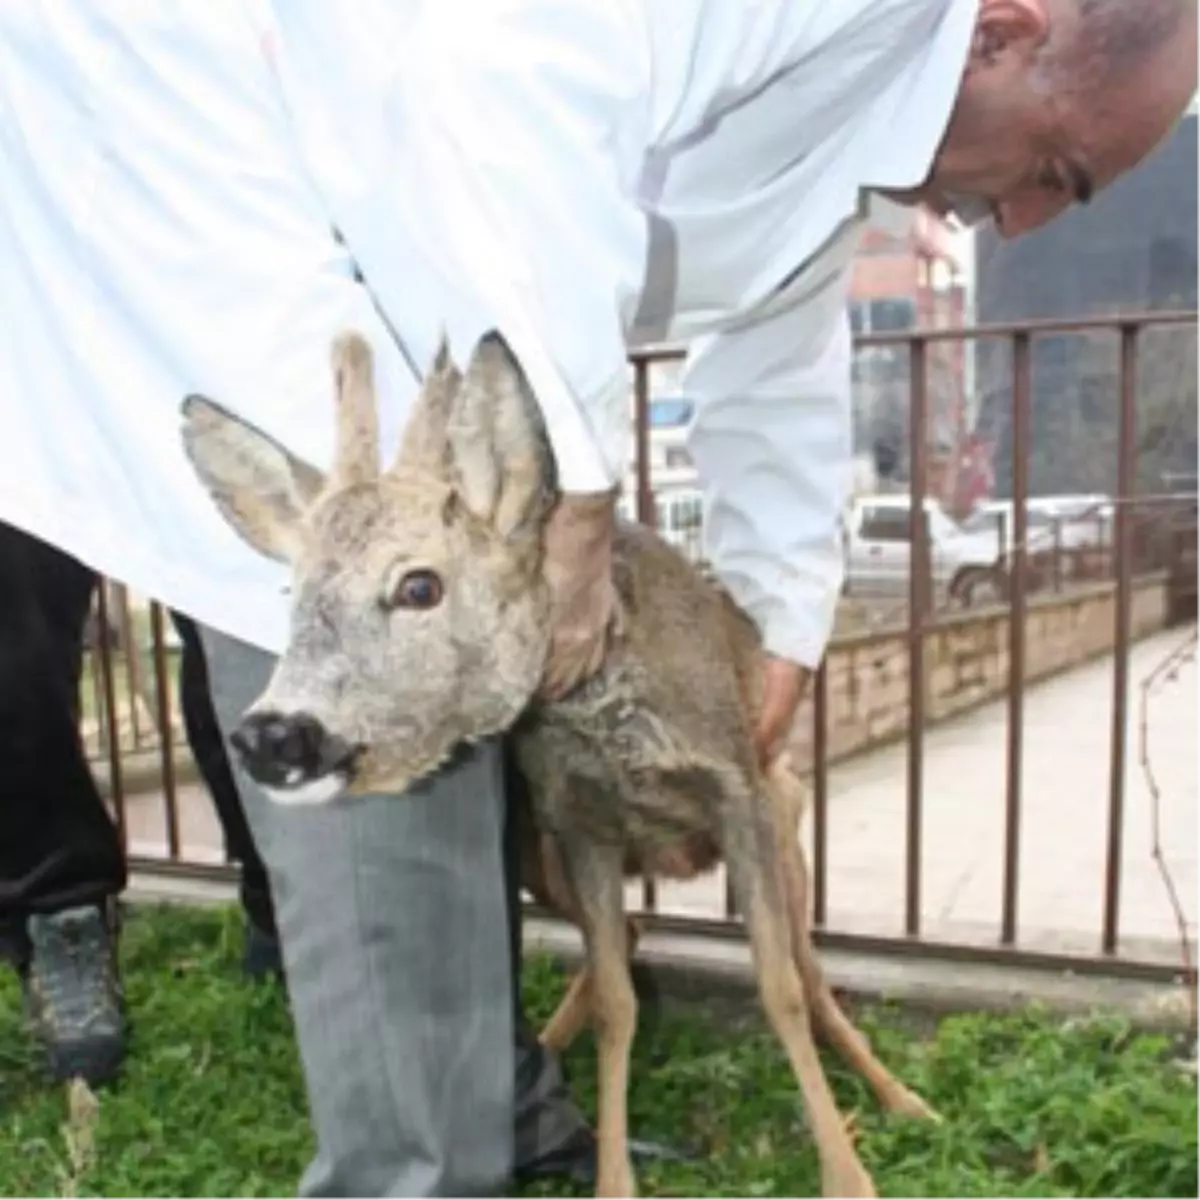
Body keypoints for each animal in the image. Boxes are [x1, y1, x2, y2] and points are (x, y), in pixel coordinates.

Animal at [177, 328, 936, 1200]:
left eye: (419, 585)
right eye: (292, 595)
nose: (271, 735)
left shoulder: (741, 791)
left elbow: (779, 984)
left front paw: (849, 1177)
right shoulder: (580, 823)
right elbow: (616, 1003)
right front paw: (612, 1178)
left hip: (786, 821)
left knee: (811, 969)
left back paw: (904, 1100)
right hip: (534, 847)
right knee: (633, 936)